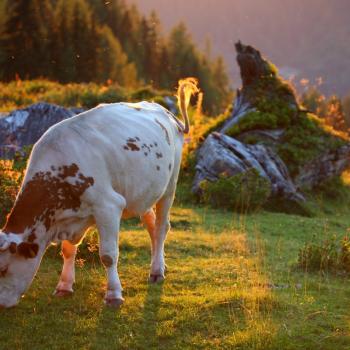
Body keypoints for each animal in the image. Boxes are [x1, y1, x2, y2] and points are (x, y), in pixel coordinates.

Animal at [0, 78, 198, 308]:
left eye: (3, 269)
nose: (1, 305)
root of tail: (165, 112)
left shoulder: (108, 206)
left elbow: (108, 255)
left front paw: (113, 295)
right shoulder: (72, 216)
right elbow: (68, 250)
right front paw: (64, 286)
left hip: (169, 186)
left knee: (161, 227)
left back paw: (157, 271)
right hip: (142, 191)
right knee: (150, 223)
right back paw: (160, 263)